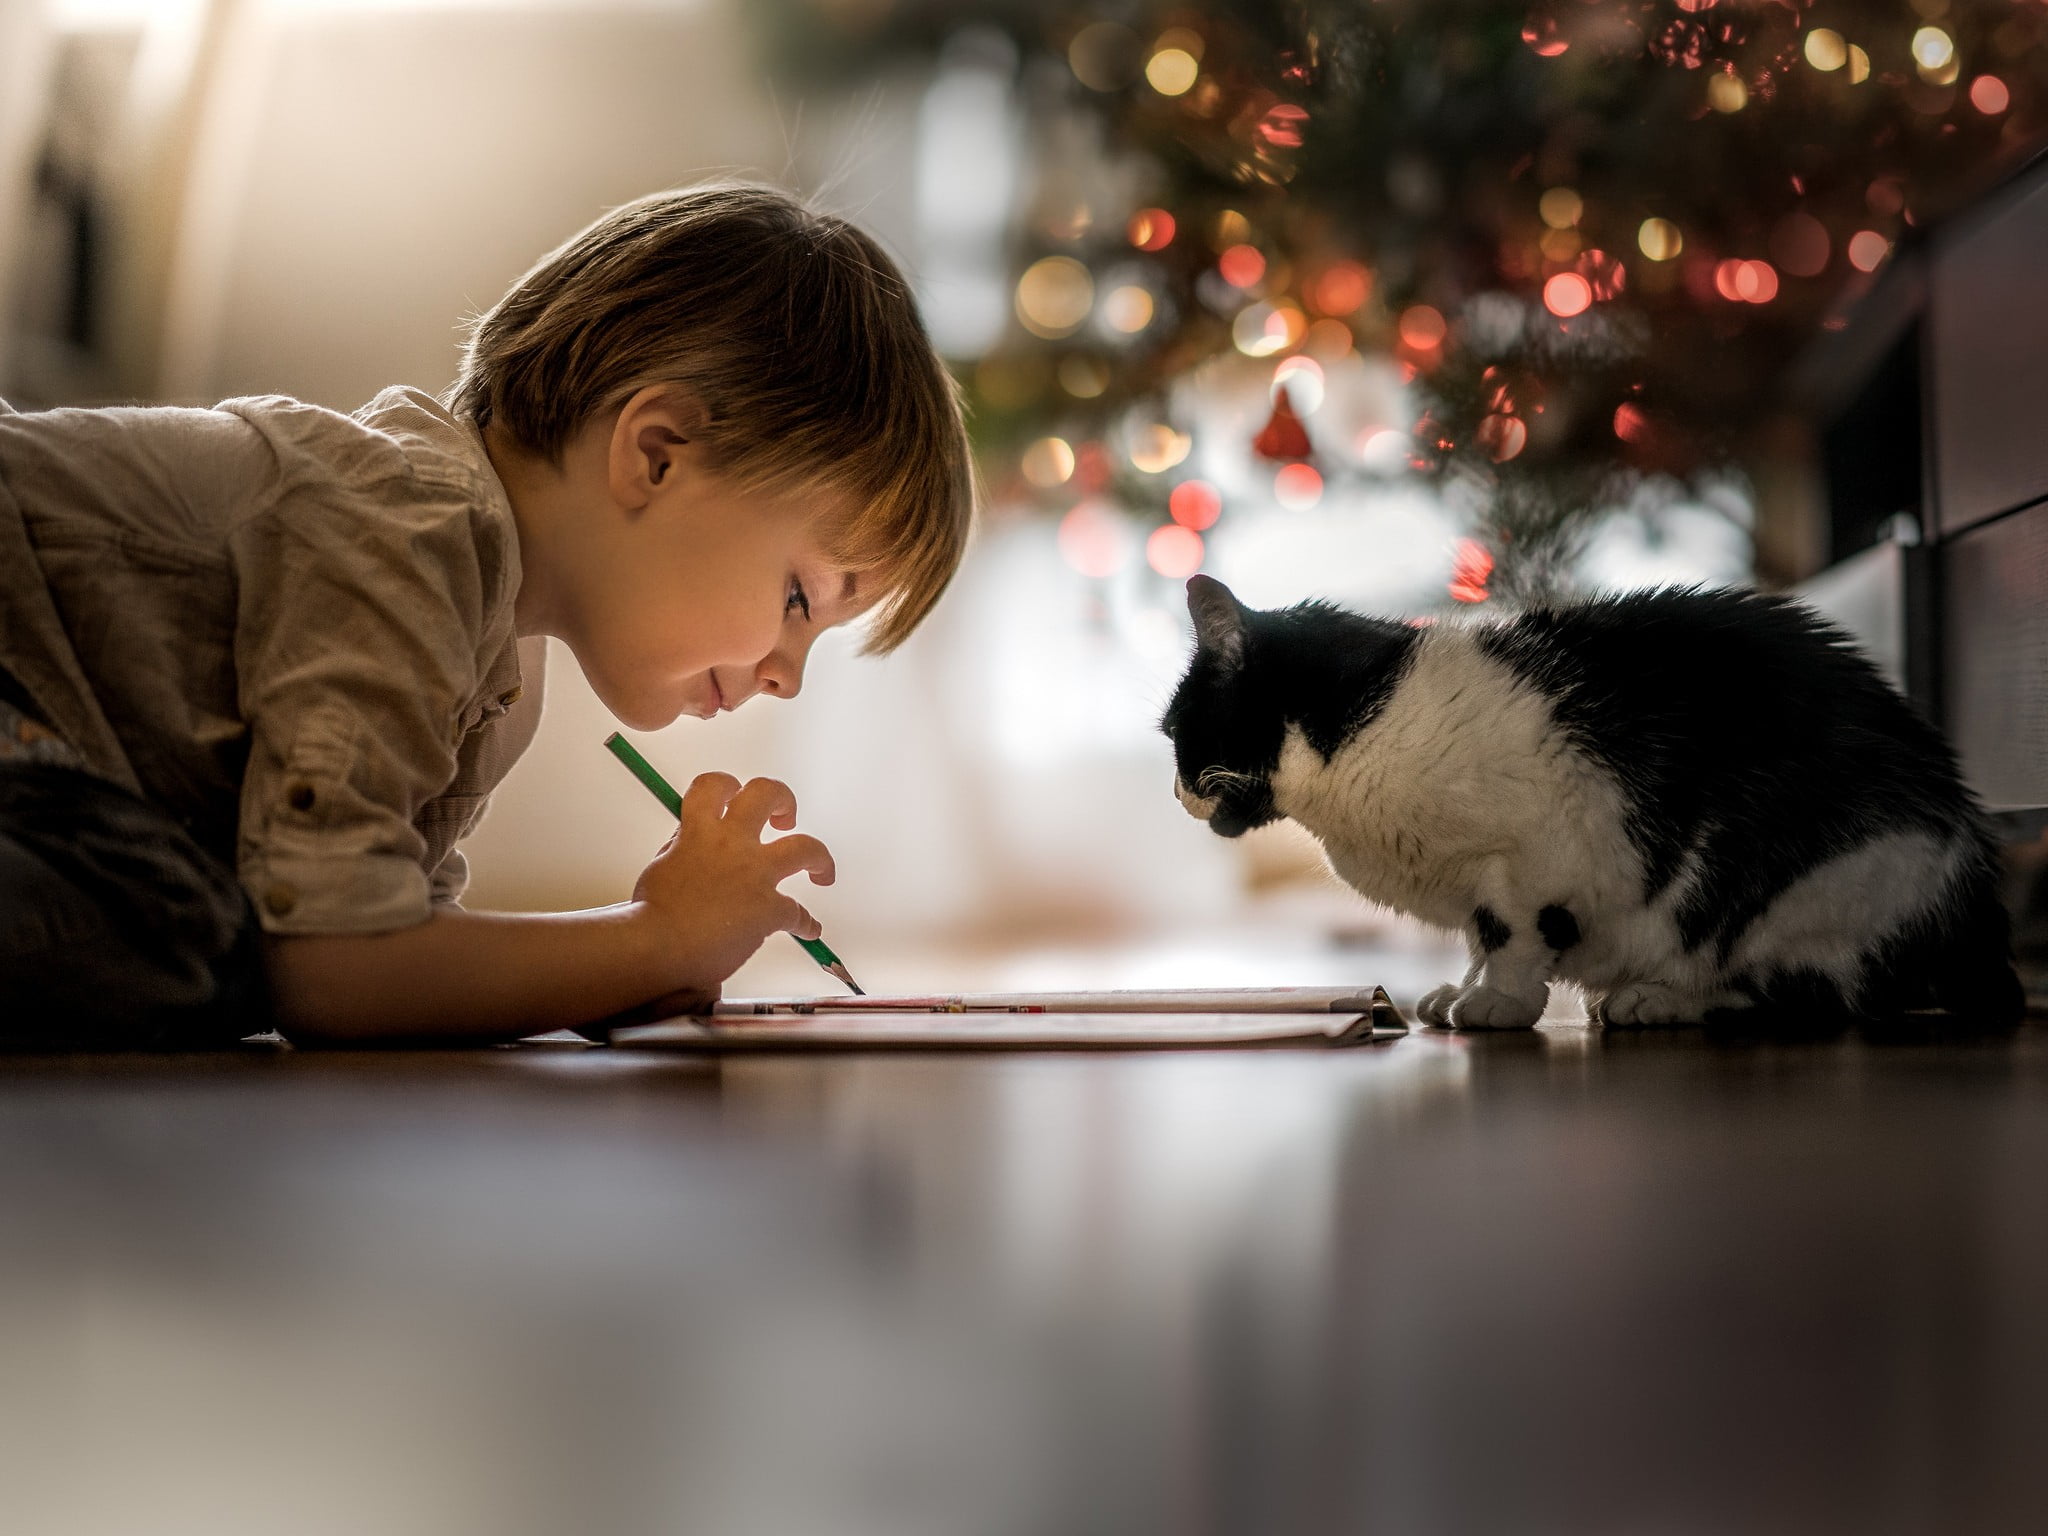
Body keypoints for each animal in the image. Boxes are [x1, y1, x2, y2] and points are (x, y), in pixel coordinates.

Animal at [1163, 577, 2023, 1036]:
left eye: (1175, 732)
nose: (1173, 793)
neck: (1357, 737)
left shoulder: (1536, 851)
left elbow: (1511, 935)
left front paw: (1500, 1002)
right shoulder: (1479, 881)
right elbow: (1477, 937)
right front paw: (1460, 992)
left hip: (1821, 883)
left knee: (1813, 994)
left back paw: (1661, 998)